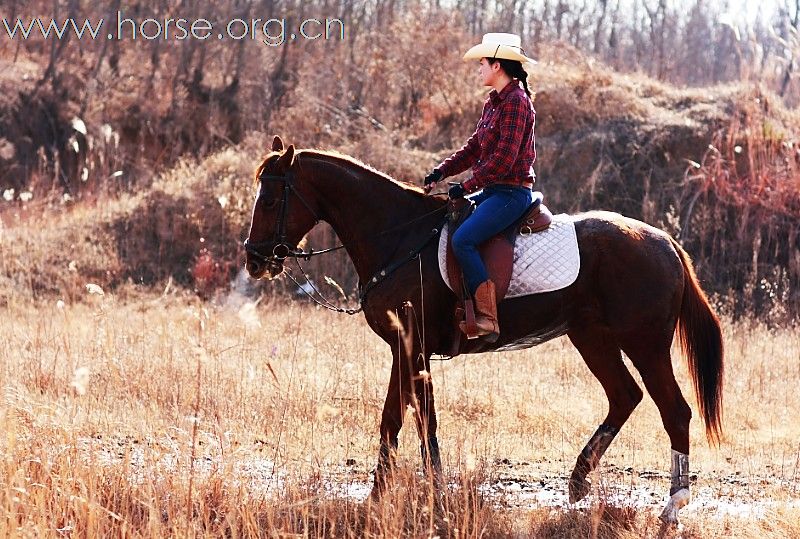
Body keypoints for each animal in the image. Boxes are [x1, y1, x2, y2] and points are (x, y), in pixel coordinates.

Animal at [244, 136, 724, 528]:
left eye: (268, 200)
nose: (254, 259)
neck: (401, 239)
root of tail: (664, 241)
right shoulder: (409, 350)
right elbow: (407, 419)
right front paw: (401, 494)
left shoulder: (412, 347)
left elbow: (408, 419)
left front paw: (408, 495)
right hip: (593, 338)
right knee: (624, 396)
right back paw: (578, 481)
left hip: (645, 344)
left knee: (674, 410)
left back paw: (673, 505)